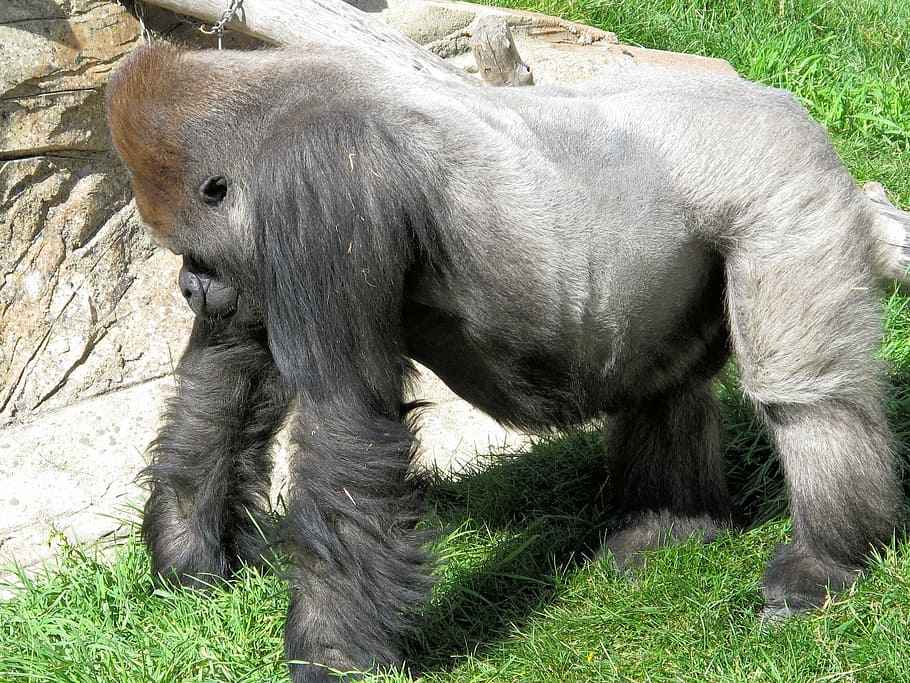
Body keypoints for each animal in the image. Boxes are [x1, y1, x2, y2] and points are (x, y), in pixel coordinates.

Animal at [106, 44, 908, 682]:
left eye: (195, 253)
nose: (188, 286)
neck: (274, 112)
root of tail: (781, 100)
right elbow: (226, 383)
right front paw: (187, 556)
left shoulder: (318, 190)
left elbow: (345, 427)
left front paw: (331, 651)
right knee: (666, 384)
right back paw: (672, 525)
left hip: (788, 183)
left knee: (804, 397)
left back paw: (826, 561)